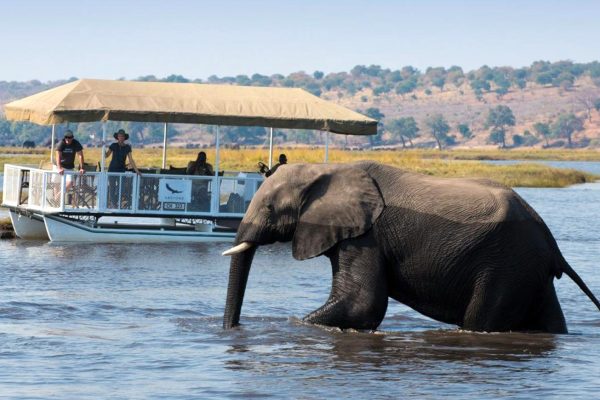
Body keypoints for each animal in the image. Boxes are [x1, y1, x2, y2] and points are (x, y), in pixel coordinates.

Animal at [221, 161, 600, 332]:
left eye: (269, 208)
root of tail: (551, 243)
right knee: (549, 322)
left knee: (481, 321)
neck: (327, 170)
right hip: (528, 271)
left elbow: (362, 304)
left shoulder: (367, 235)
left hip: (505, 266)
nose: (232, 330)